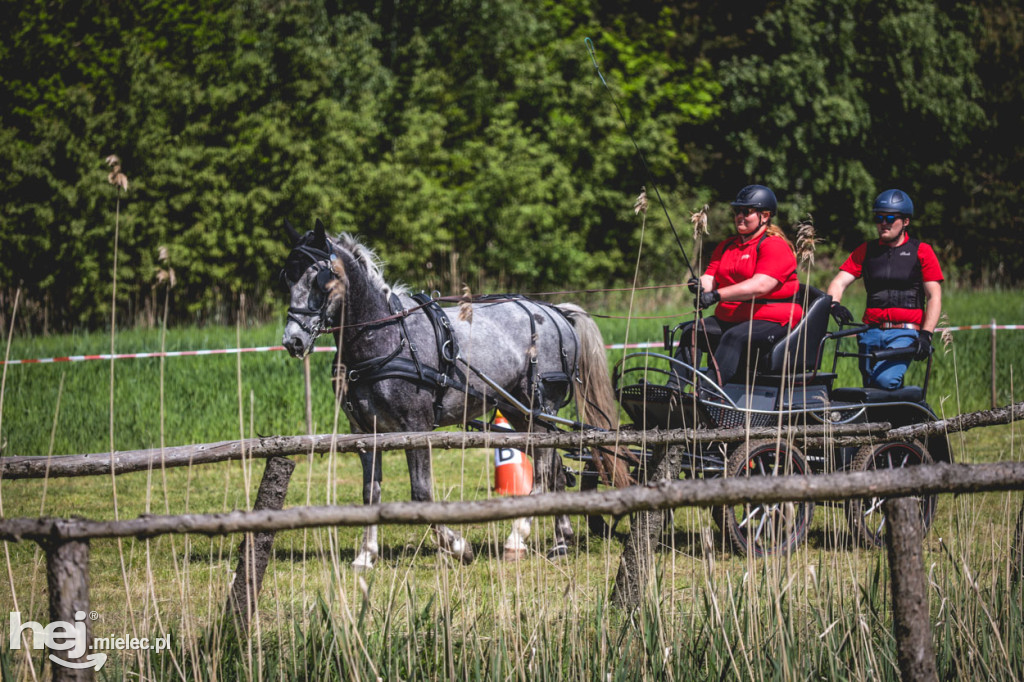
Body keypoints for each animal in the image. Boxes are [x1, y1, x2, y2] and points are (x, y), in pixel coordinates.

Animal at [282, 220, 630, 565]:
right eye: (287, 277)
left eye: (319, 278)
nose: (292, 341)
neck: (387, 336)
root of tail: (558, 312)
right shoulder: (365, 433)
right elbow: (371, 493)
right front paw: (366, 556)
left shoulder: (416, 428)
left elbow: (421, 494)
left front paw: (458, 546)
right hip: (520, 413)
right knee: (555, 469)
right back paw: (561, 541)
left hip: (541, 407)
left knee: (544, 472)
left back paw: (518, 539)